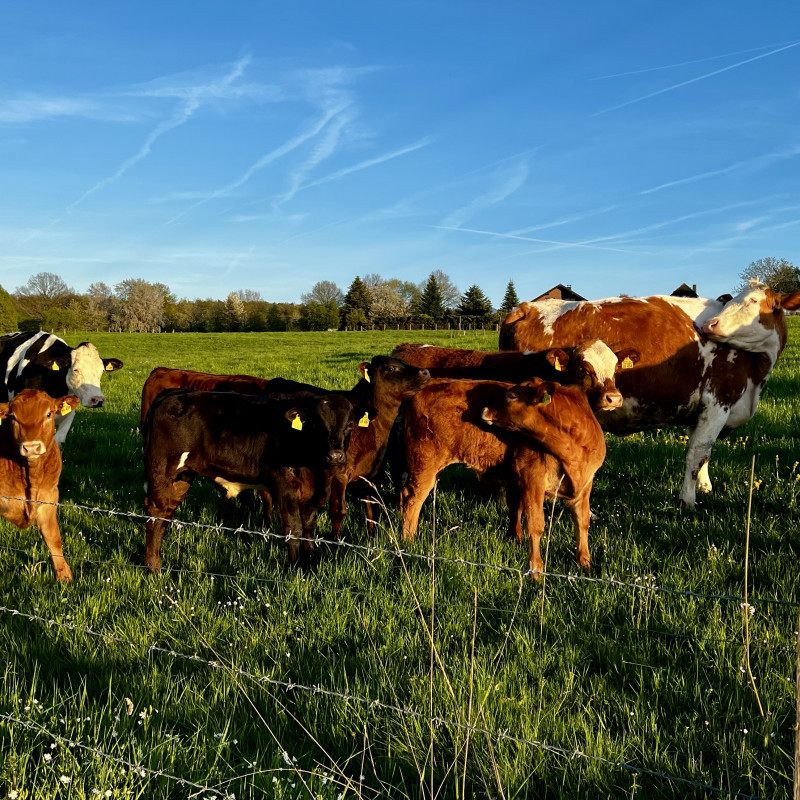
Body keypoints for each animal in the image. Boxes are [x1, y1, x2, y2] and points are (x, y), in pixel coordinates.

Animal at [0, 390, 80, 580]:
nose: (31, 447)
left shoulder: (49, 496)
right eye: (13, 417)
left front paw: (64, 575)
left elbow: (53, 537)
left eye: (49, 414)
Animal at [500, 282, 800, 506]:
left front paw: (705, 488)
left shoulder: (699, 411)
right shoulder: (718, 402)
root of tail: (526, 307)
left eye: (752, 302)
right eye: (737, 301)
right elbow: (697, 453)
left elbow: (704, 455)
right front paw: (687, 501)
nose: (709, 325)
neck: (756, 373)